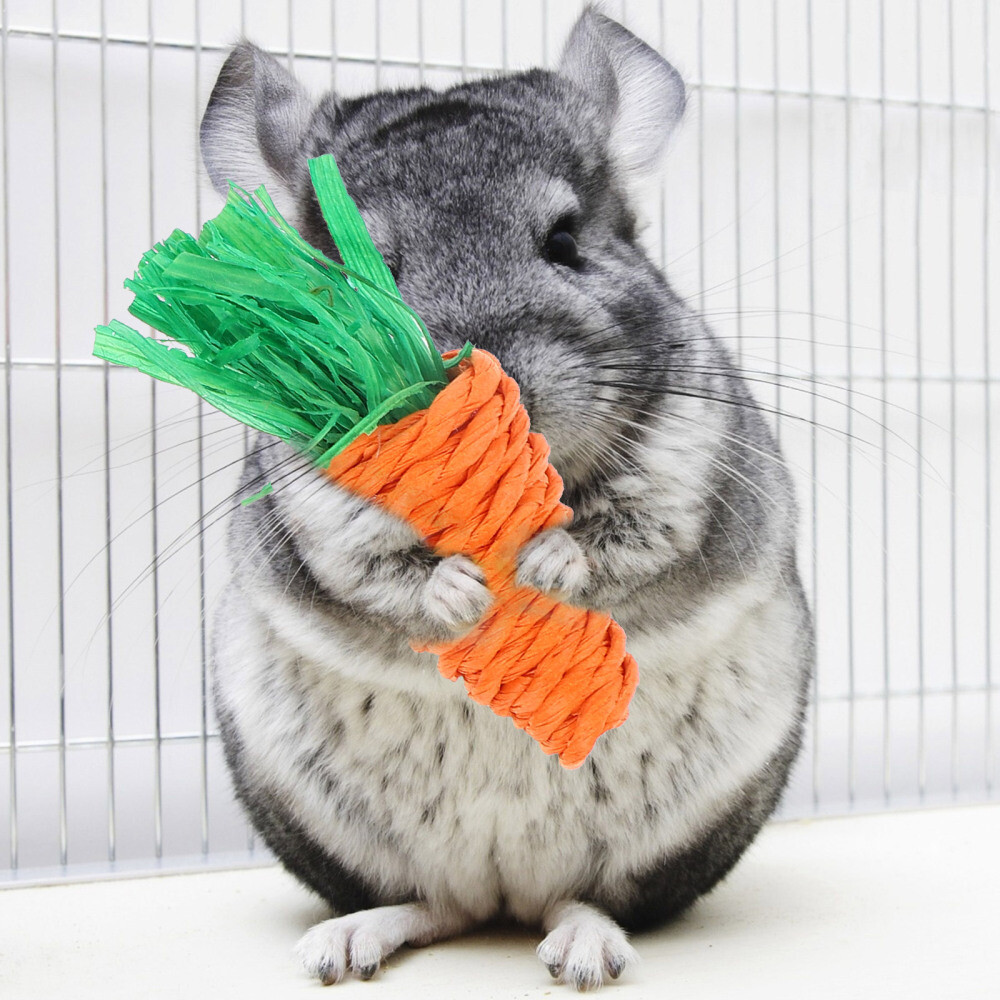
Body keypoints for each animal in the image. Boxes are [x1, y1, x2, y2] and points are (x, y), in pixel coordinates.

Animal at [201, 7, 813, 992]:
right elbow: (373, 566)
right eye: (360, 275)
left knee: (587, 897)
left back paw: (584, 951)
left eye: (565, 241)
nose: (487, 387)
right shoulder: (311, 510)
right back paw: (345, 943)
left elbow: (626, 539)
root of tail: (503, 888)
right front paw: (459, 589)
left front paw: (546, 561)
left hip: (671, 844)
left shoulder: (690, 474)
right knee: (429, 905)